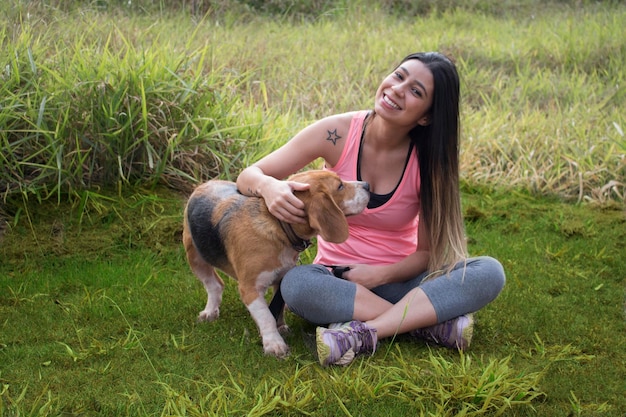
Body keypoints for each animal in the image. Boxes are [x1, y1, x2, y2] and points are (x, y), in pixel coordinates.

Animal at [180, 169, 368, 358]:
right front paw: (274, 343)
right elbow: (266, 316)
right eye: (340, 186)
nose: (367, 185)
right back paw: (210, 312)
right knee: (214, 285)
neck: (279, 228)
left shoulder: (282, 278)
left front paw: (281, 327)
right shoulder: (250, 289)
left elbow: (278, 308)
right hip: (195, 257)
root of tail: (206, 183)